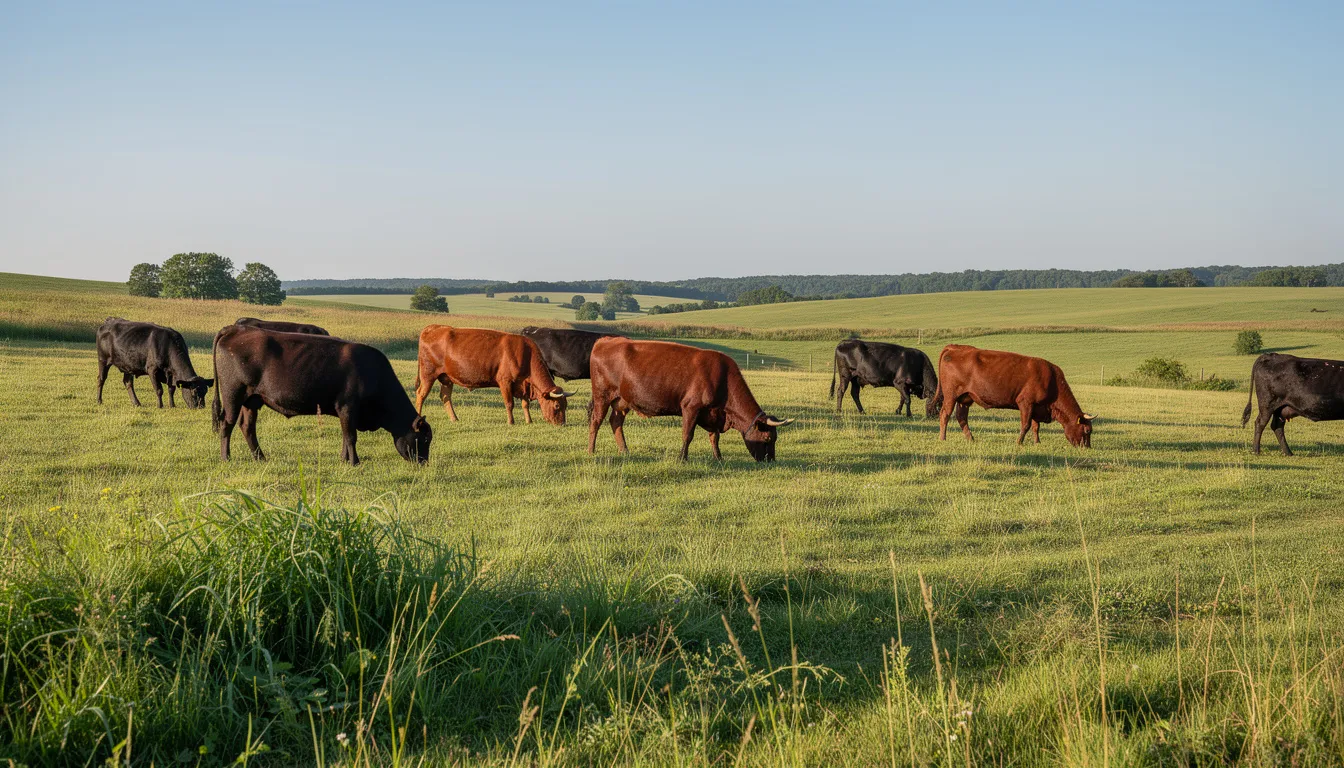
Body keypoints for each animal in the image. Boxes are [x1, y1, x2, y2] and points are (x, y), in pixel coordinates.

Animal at [211, 325, 431, 465]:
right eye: (425, 439)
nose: (424, 462)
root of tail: (235, 329)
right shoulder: (348, 407)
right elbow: (351, 437)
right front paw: (355, 462)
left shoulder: (345, 412)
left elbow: (345, 436)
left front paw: (344, 459)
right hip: (233, 396)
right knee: (226, 424)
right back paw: (226, 457)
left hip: (252, 400)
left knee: (247, 427)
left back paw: (260, 457)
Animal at [413, 326, 574, 425]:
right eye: (556, 406)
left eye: (565, 405)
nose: (562, 424)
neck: (525, 354)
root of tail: (433, 328)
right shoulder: (505, 382)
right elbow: (509, 403)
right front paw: (511, 422)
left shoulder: (523, 384)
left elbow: (525, 403)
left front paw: (529, 421)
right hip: (428, 374)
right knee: (421, 394)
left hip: (446, 378)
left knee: (446, 397)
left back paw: (454, 419)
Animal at [588, 338, 794, 461]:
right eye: (768, 437)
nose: (770, 461)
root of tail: (605, 340)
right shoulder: (691, 407)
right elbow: (688, 435)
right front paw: (682, 458)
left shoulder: (714, 413)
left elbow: (714, 437)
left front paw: (718, 458)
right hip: (602, 396)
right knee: (596, 422)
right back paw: (591, 450)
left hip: (622, 401)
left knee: (616, 422)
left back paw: (625, 451)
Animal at [934, 344, 1095, 447]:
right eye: (1087, 430)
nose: (1087, 447)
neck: (1051, 379)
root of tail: (957, 347)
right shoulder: (1026, 402)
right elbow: (1026, 425)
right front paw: (1019, 442)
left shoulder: (1037, 407)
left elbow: (1036, 426)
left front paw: (1037, 442)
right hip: (951, 396)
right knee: (945, 415)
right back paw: (942, 438)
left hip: (965, 398)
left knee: (961, 417)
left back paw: (971, 439)